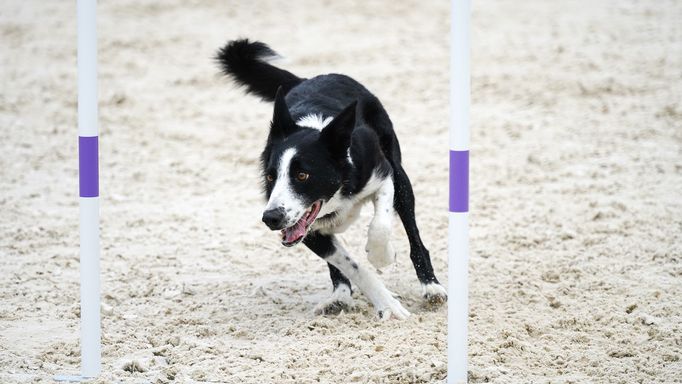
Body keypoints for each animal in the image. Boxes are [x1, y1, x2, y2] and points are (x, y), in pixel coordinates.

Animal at [214, 39, 446, 320]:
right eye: (270, 176)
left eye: (302, 175)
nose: (271, 218)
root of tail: (310, 78)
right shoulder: (309, 232)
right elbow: (353, 266)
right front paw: (387, 304)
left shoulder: (383, 175)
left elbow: (380, 226)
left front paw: (382, 256)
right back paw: (340, 296)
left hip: (401, 178)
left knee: (414, 237)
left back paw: (432, 287)